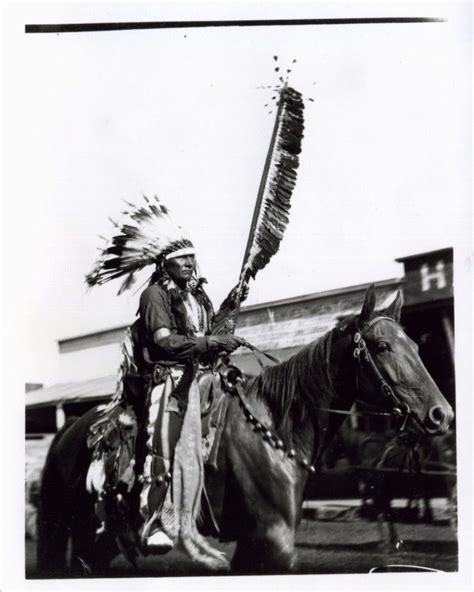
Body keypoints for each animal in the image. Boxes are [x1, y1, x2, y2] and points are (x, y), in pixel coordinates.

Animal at [36, 284, 452, 576]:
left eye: (415, 345)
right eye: (382, 346)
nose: (441, 414)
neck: (276, 427)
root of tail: (70, 430)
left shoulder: (255, 543)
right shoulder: (275, 538)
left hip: (102, 537)